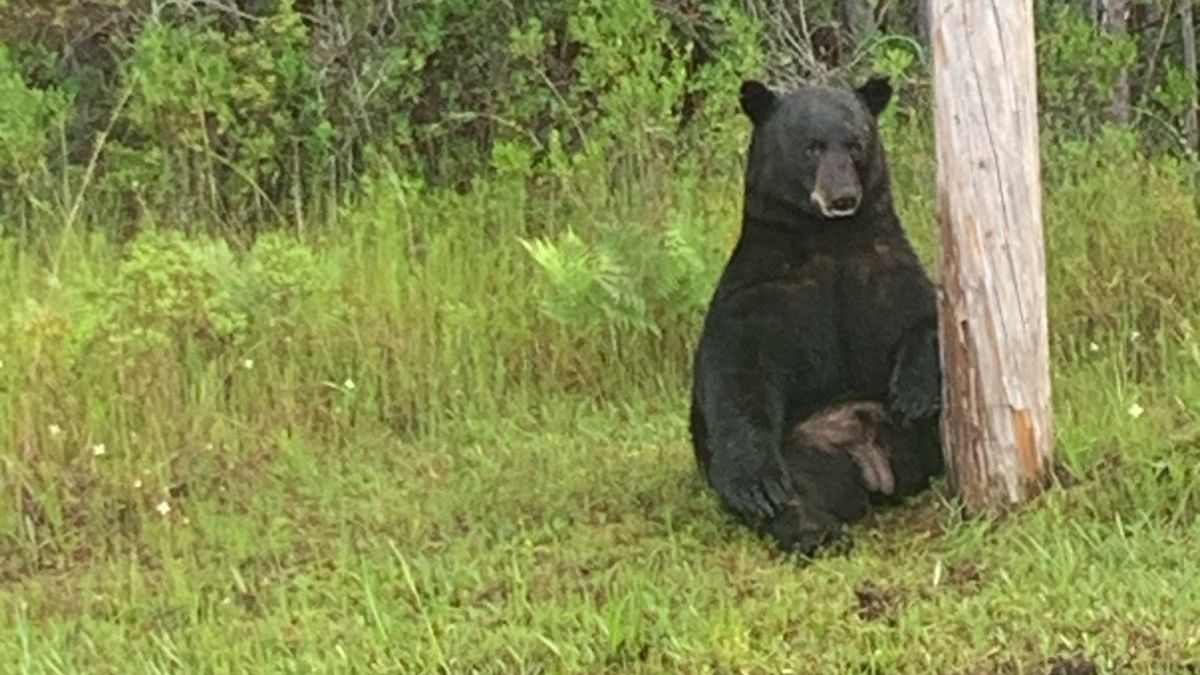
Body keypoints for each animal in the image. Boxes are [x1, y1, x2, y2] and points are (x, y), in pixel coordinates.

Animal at [691, 76, 940, 554]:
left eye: (856, 144)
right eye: (812, 147)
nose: (843, 197)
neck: (830, 238)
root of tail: (872, 463)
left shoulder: (885, 268)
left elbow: (927, 314)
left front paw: (915, 391)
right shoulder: (762, 291)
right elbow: (739, 372)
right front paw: (755, 485)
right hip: (803, 450)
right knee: (794, 491)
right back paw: (814, 529)